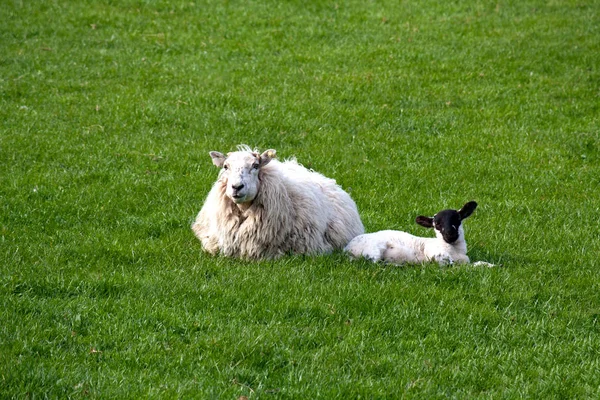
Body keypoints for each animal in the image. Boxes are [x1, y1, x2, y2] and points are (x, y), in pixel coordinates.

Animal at [344, 202, 494, 268]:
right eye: (436, 224)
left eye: (457, 219)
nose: (450, 235)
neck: (454, 250)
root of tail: (347, 248)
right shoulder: (437, 255)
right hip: (373, 249)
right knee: (375, 263)